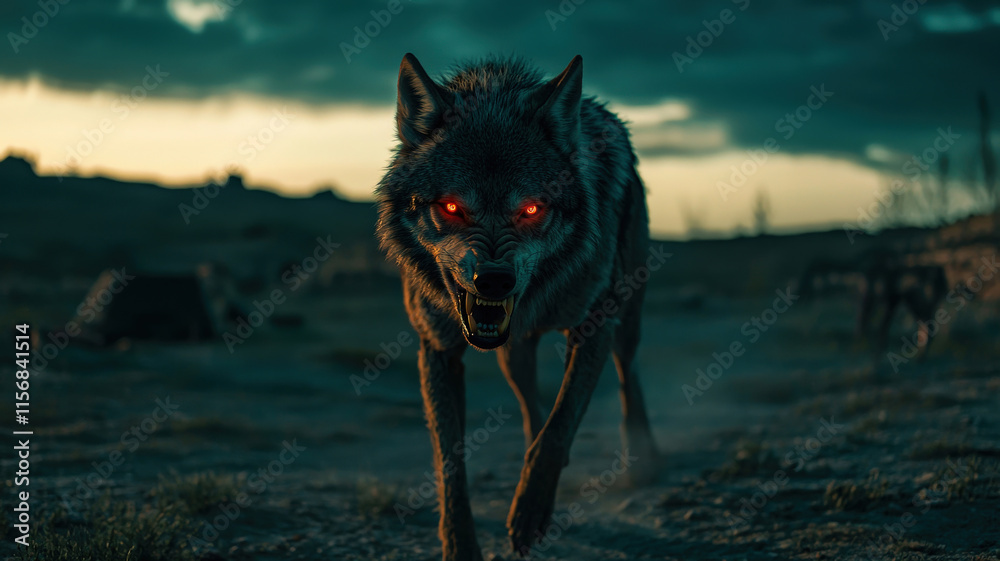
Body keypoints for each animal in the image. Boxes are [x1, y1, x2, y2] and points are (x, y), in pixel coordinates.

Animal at [375, 53, 660, 560]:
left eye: (530, 209)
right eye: (451, 207)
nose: (493, 279)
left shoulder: (594, 325)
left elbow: (561, 425)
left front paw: (530, 513)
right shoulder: (438, 348)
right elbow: (451, 462)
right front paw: (460, 545)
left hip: (626, 318)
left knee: (627, 375)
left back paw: (643, 460)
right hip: (513, 357)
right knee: (532, 406)